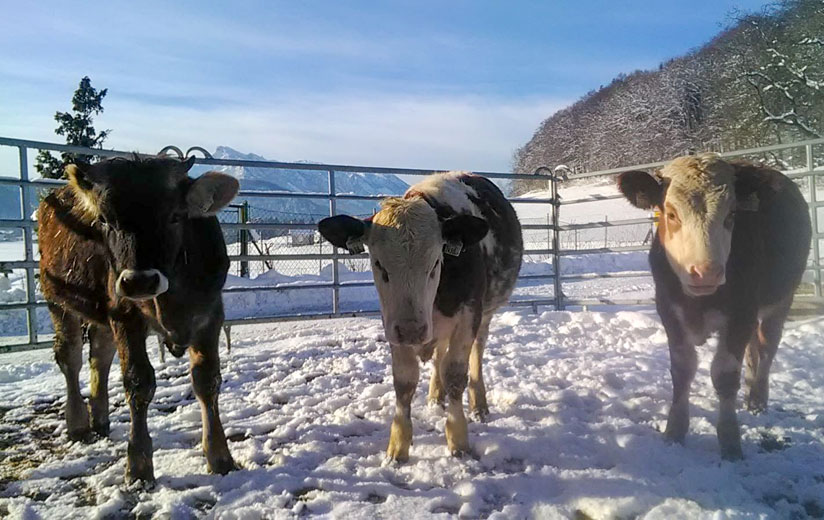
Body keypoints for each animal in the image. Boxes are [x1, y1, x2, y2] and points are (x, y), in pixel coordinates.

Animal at [318, 173, 520, 462]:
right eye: (378, 264)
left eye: (435, 262)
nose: (412, 330)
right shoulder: (394, 323)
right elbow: (404, 382)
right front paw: (397, 447)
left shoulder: (468, 316)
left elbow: (456, 376)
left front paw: (458, 439)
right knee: (439, 356)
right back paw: (436, 396)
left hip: (485, 316)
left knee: (476, 355)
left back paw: (479, 405)